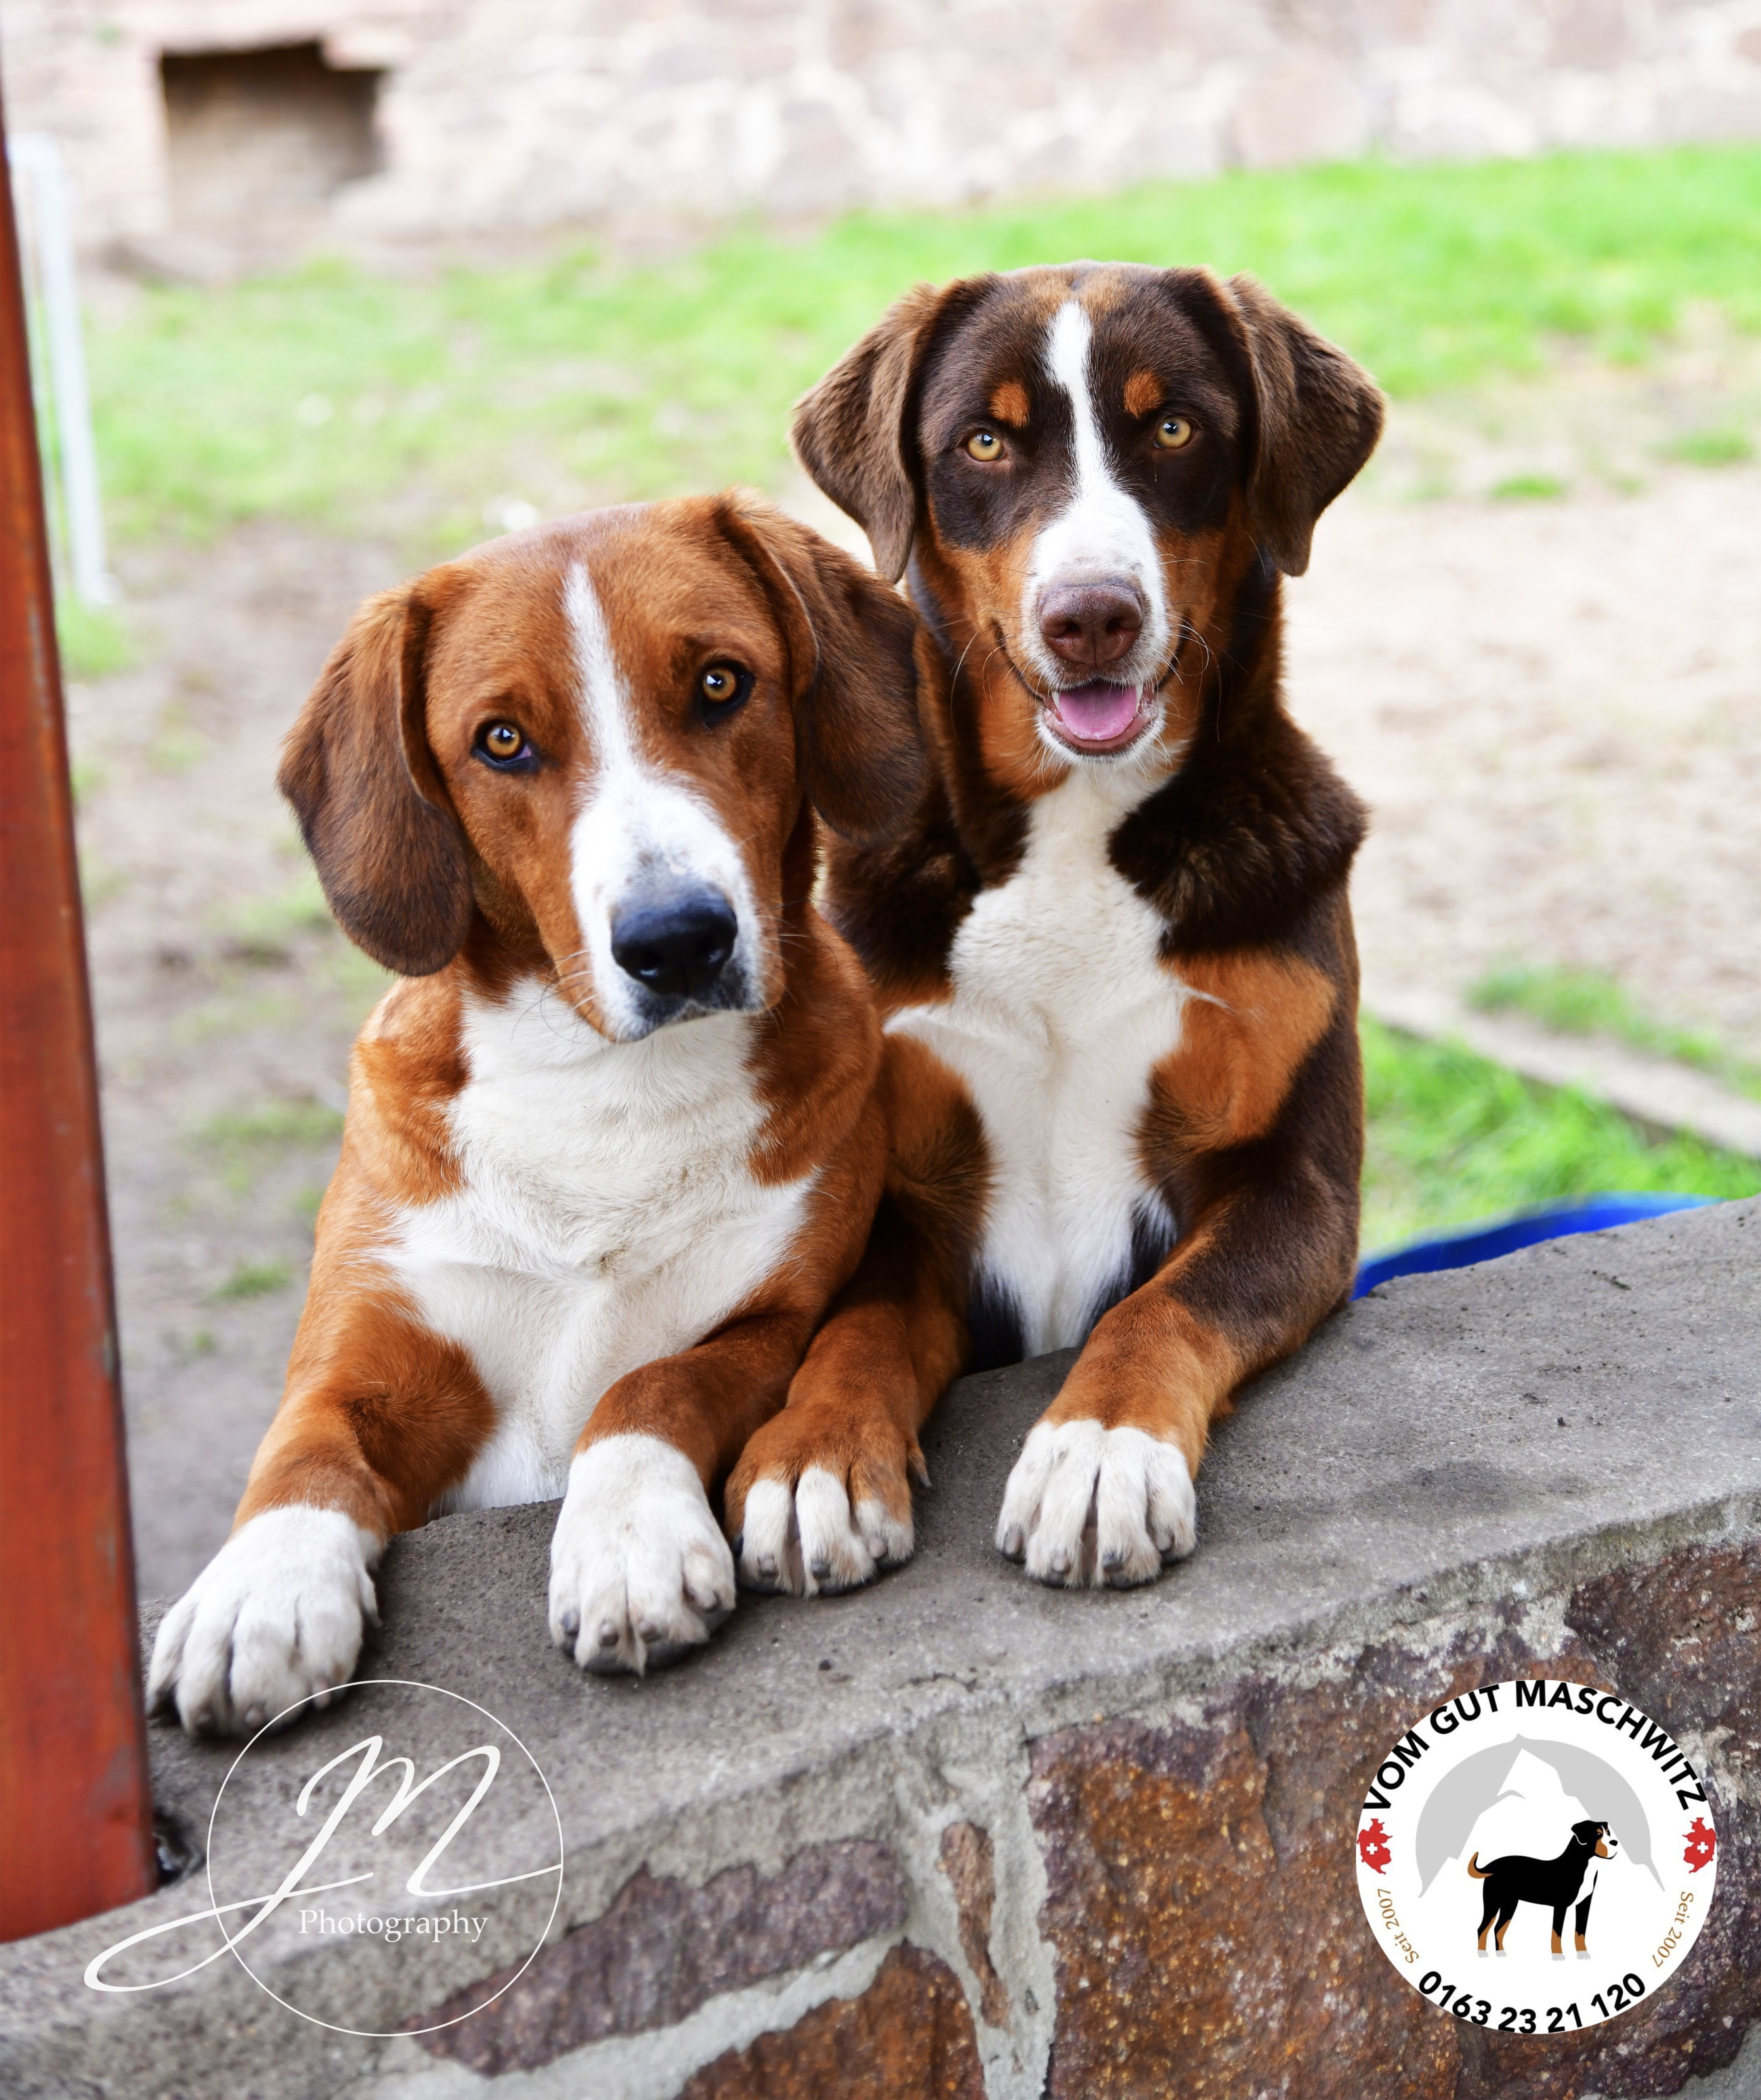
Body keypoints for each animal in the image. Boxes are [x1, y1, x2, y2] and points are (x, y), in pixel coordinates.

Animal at [146, 494, 923, 1733]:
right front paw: (253, 1593)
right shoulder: (361, 1352)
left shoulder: (772, 1321)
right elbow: (301, 1455)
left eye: (721, 683)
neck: (603, 1085)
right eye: (502, 742)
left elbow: (646, 1385)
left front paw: (625, 1541)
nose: (678, 940)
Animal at [725, 262, 1382, 1593]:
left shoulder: (1293, 1181)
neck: (1079, 830)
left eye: (1173, 428)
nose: (1093, 617)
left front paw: (1098, 1452)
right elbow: (857, 1328)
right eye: (985, 441)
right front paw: (812, 1458)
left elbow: (1161, 1306)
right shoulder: (904, 1195)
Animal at [1469, 1820, 1617, 1956]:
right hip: (1492, 1903)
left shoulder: (1584, 1904)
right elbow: (1557, 1933)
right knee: (1483, 1928)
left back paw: (1500, 1953)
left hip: (1509, 1904)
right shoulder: (1561, 1905)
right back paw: (1482, 1953)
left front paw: (1583, 1954)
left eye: (1608, 1833)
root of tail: (1492, 1866)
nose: (1615, 1842)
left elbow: (1580, 1931)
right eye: (1597, 1834)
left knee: (1498, 1929)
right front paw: (1558, 1955)